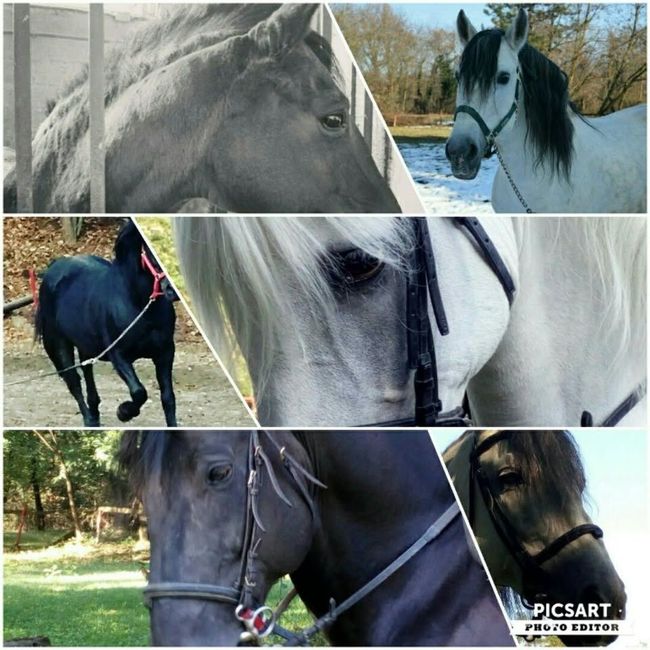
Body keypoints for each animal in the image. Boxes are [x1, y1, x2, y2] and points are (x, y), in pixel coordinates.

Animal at [35, 220, 178, 426]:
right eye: (148, 248)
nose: (171, 290)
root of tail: (53, 267)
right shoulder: (118, 355)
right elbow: (139, 392)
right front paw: (124, 412)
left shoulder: (165, 353)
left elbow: (168, 398)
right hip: (58, 344)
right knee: (74, 382)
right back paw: (89, 419)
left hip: (86, 345)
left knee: (87, 371)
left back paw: (94, 414)